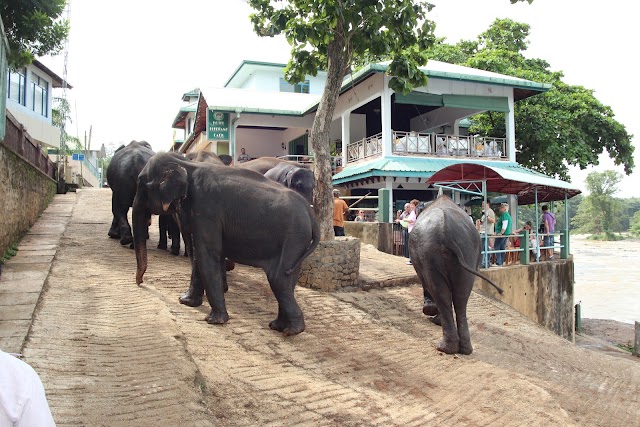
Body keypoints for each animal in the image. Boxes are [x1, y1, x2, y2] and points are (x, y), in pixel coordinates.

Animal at [132, 152, 320, 336]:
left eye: (142, 185)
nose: (141, 282)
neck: (186, 163)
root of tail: (311, 214)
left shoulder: (206, 211)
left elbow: (206, 254)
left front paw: (214, 320)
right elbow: (201, 256)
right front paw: (185, 301)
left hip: (293, 237)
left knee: (278, 279)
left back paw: (291, 331)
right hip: (297, 242)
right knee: (287, 280)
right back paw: (277, 326)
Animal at [408, 196, 502, 356]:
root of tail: (446, 232)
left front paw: (429, 310)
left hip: (429, 253)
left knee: (441, 293)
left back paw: (443, 347)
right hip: (468, 251)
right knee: (461, 297)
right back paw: (464, 349)